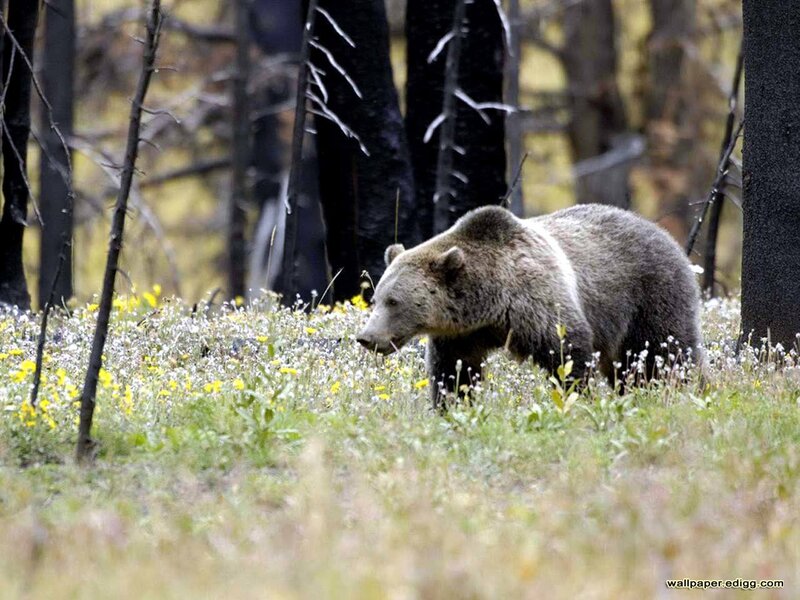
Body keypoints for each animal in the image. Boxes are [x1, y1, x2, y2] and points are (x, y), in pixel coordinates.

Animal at [357, 204, 703, 408]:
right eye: (375, 298)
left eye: (394, 301)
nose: (366, 337)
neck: (490, 302)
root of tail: (664, 233)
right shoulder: (462, 334)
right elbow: (454, 372)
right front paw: (452, 406)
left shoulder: (537, 302)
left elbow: (567, 353)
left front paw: (578, 398)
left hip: (650, 295)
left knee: (664, 352)